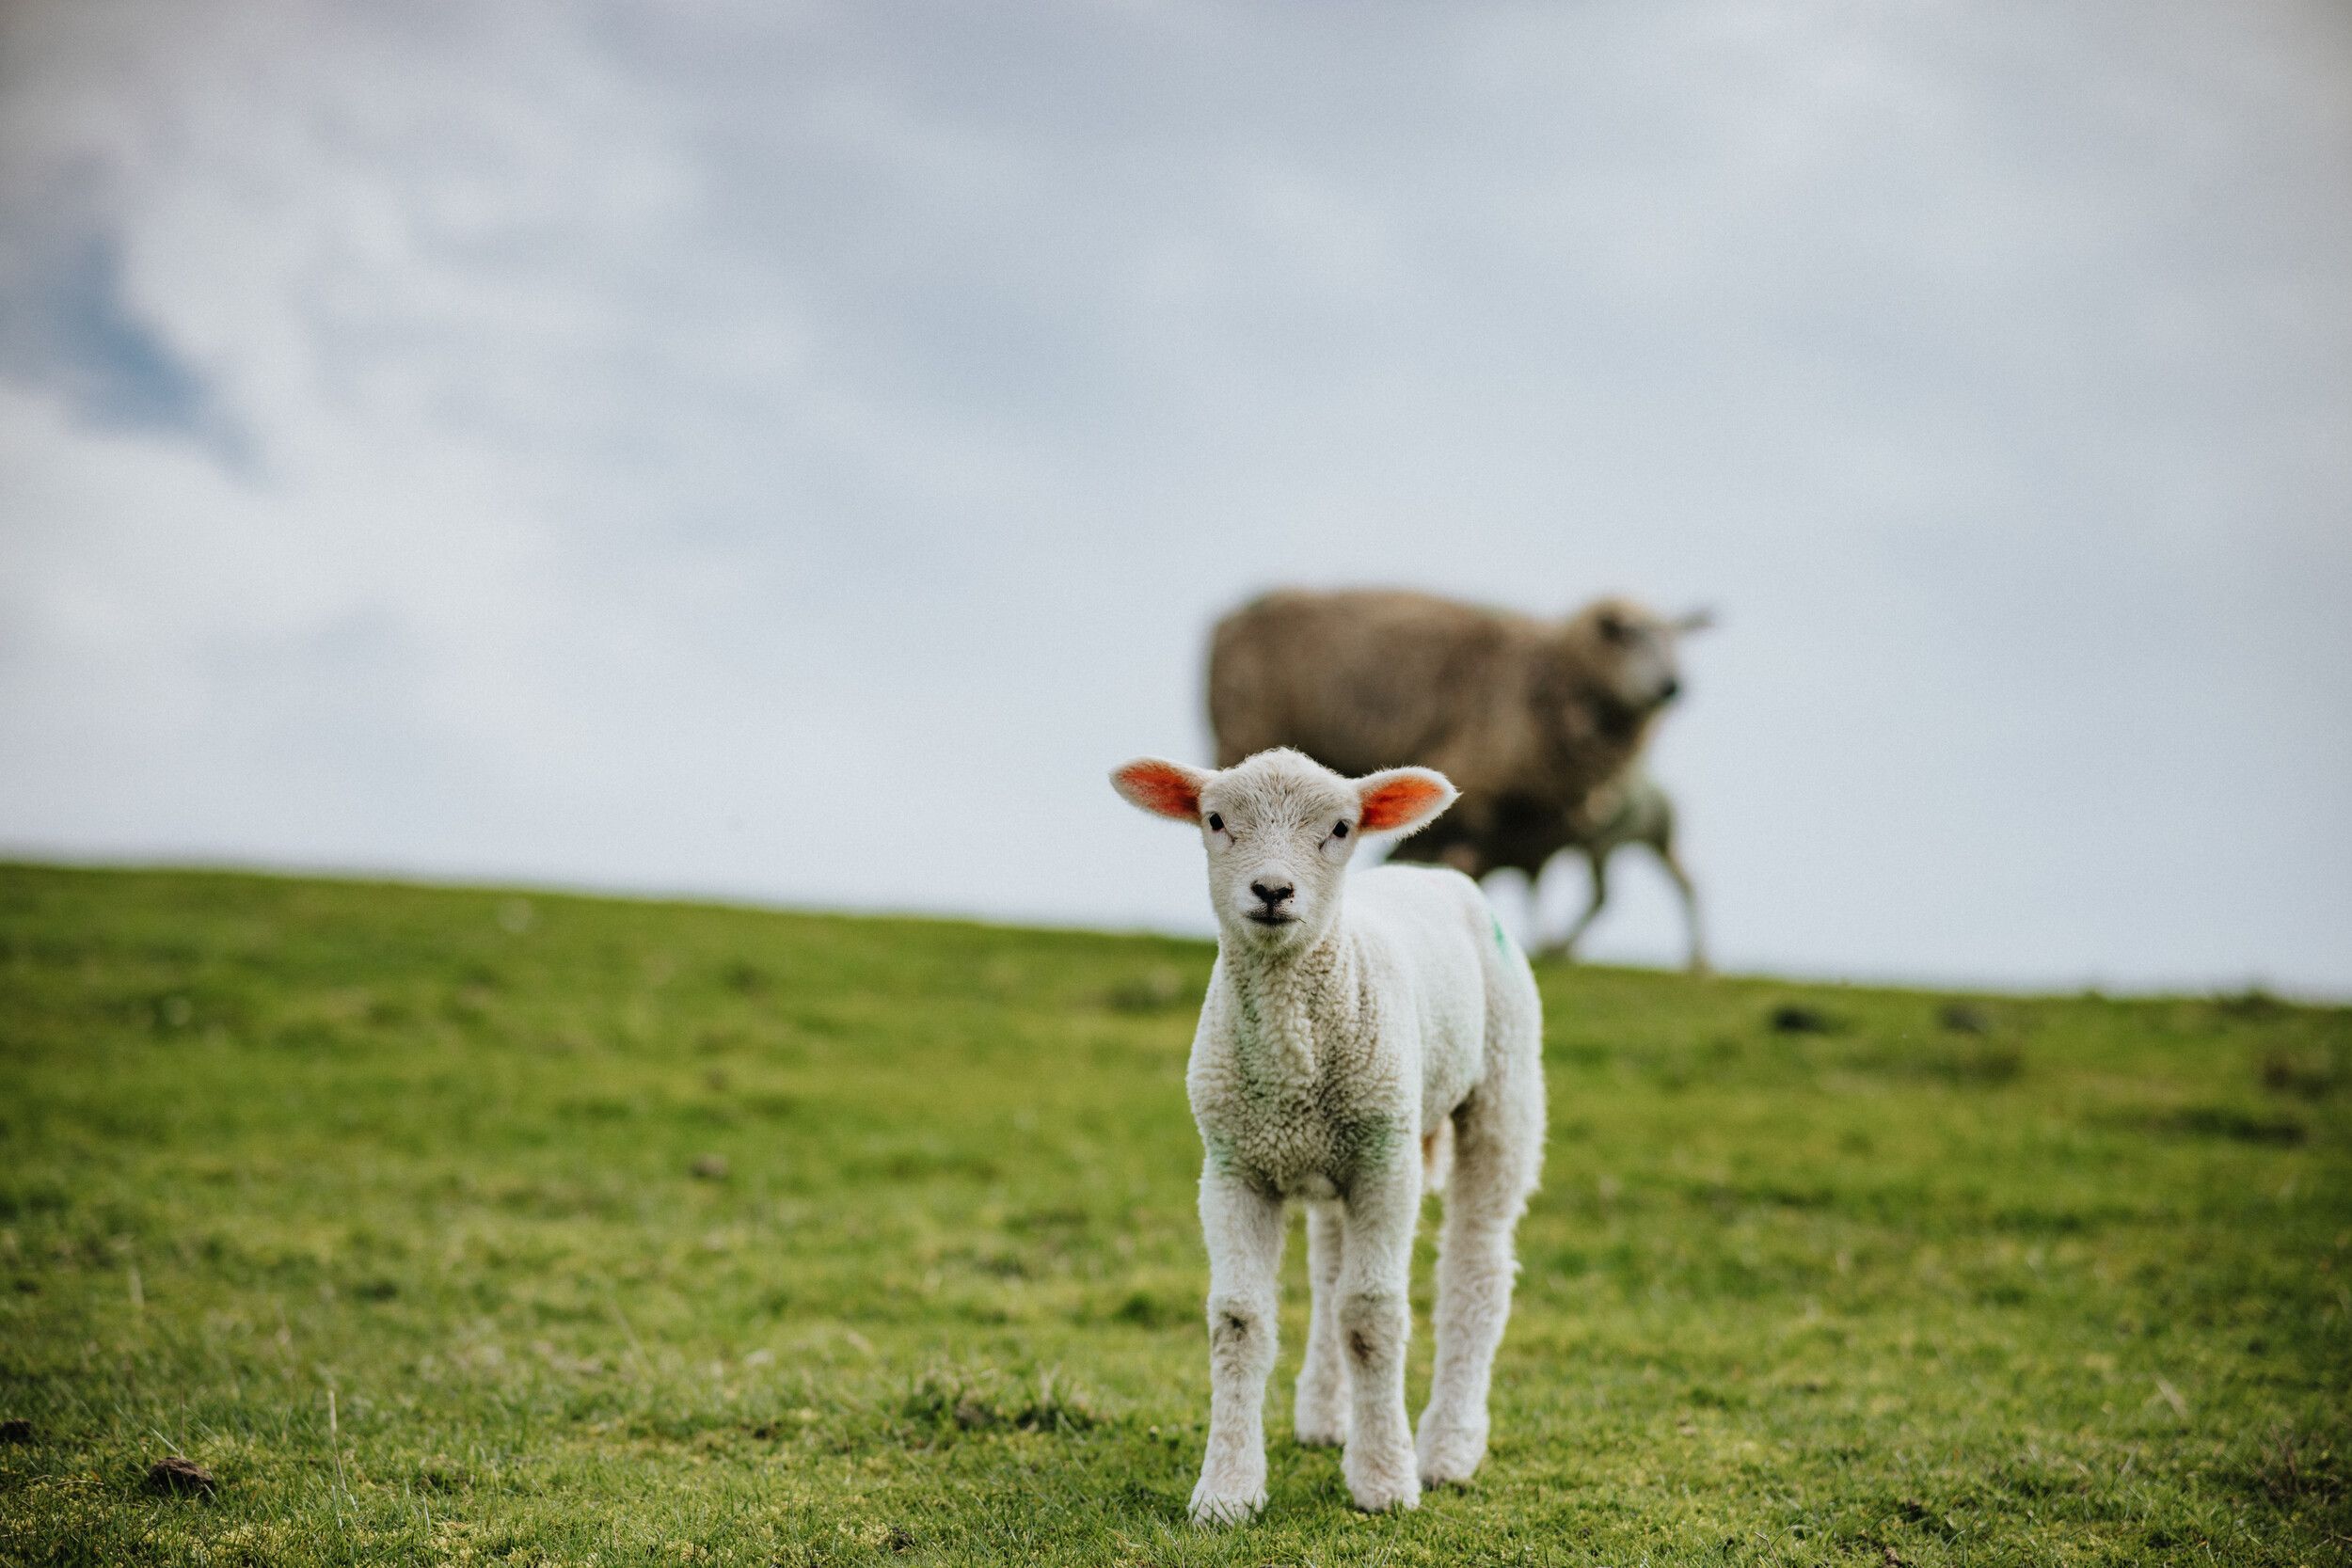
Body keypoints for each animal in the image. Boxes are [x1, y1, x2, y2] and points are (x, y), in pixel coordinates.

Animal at [1115, 747, 1552, 1523]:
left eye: (1341, 827)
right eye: (1215, 819)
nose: (1272, 889)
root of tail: (1434, 869)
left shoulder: (1385, 1161)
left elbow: (1370, 1316)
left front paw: (1384, 1480)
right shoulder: (1233, 1164)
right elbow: (1239, 1319)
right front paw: (1227, 1490)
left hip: (1502, 1085)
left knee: (1477, 1262)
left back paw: (1448, 1446)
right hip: (1332, 1150)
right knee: (1327, 1266)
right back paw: (1326, 1414)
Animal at [1214, 587, 1712, 958]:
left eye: (1676, 639)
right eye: (1628, 636)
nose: (1673, 687)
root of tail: (1242, 608)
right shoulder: (1485, 802)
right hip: (1243, 732)